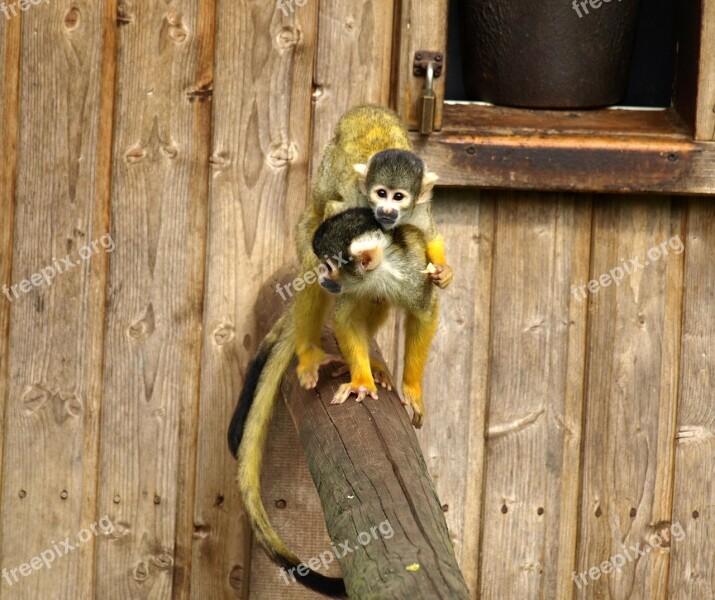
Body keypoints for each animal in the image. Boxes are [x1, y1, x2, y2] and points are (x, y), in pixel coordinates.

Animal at [227, 209, 436, 596]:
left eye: (330, 265)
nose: (322, 275)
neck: (381, 272)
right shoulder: (352, 287)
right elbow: (345, 318)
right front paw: (362, 382)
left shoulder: (412, 272)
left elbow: (425, 312)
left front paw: (412, 390)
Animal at [292, 103, 450, 394]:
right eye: (380, 193)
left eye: (398, 197)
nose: (386, 211)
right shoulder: (355, 200)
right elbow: (345, 319)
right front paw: (361, 380)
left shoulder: (418, 218)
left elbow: (426, 308)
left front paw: (412, 388)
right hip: (314, 204)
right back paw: (309, 355)